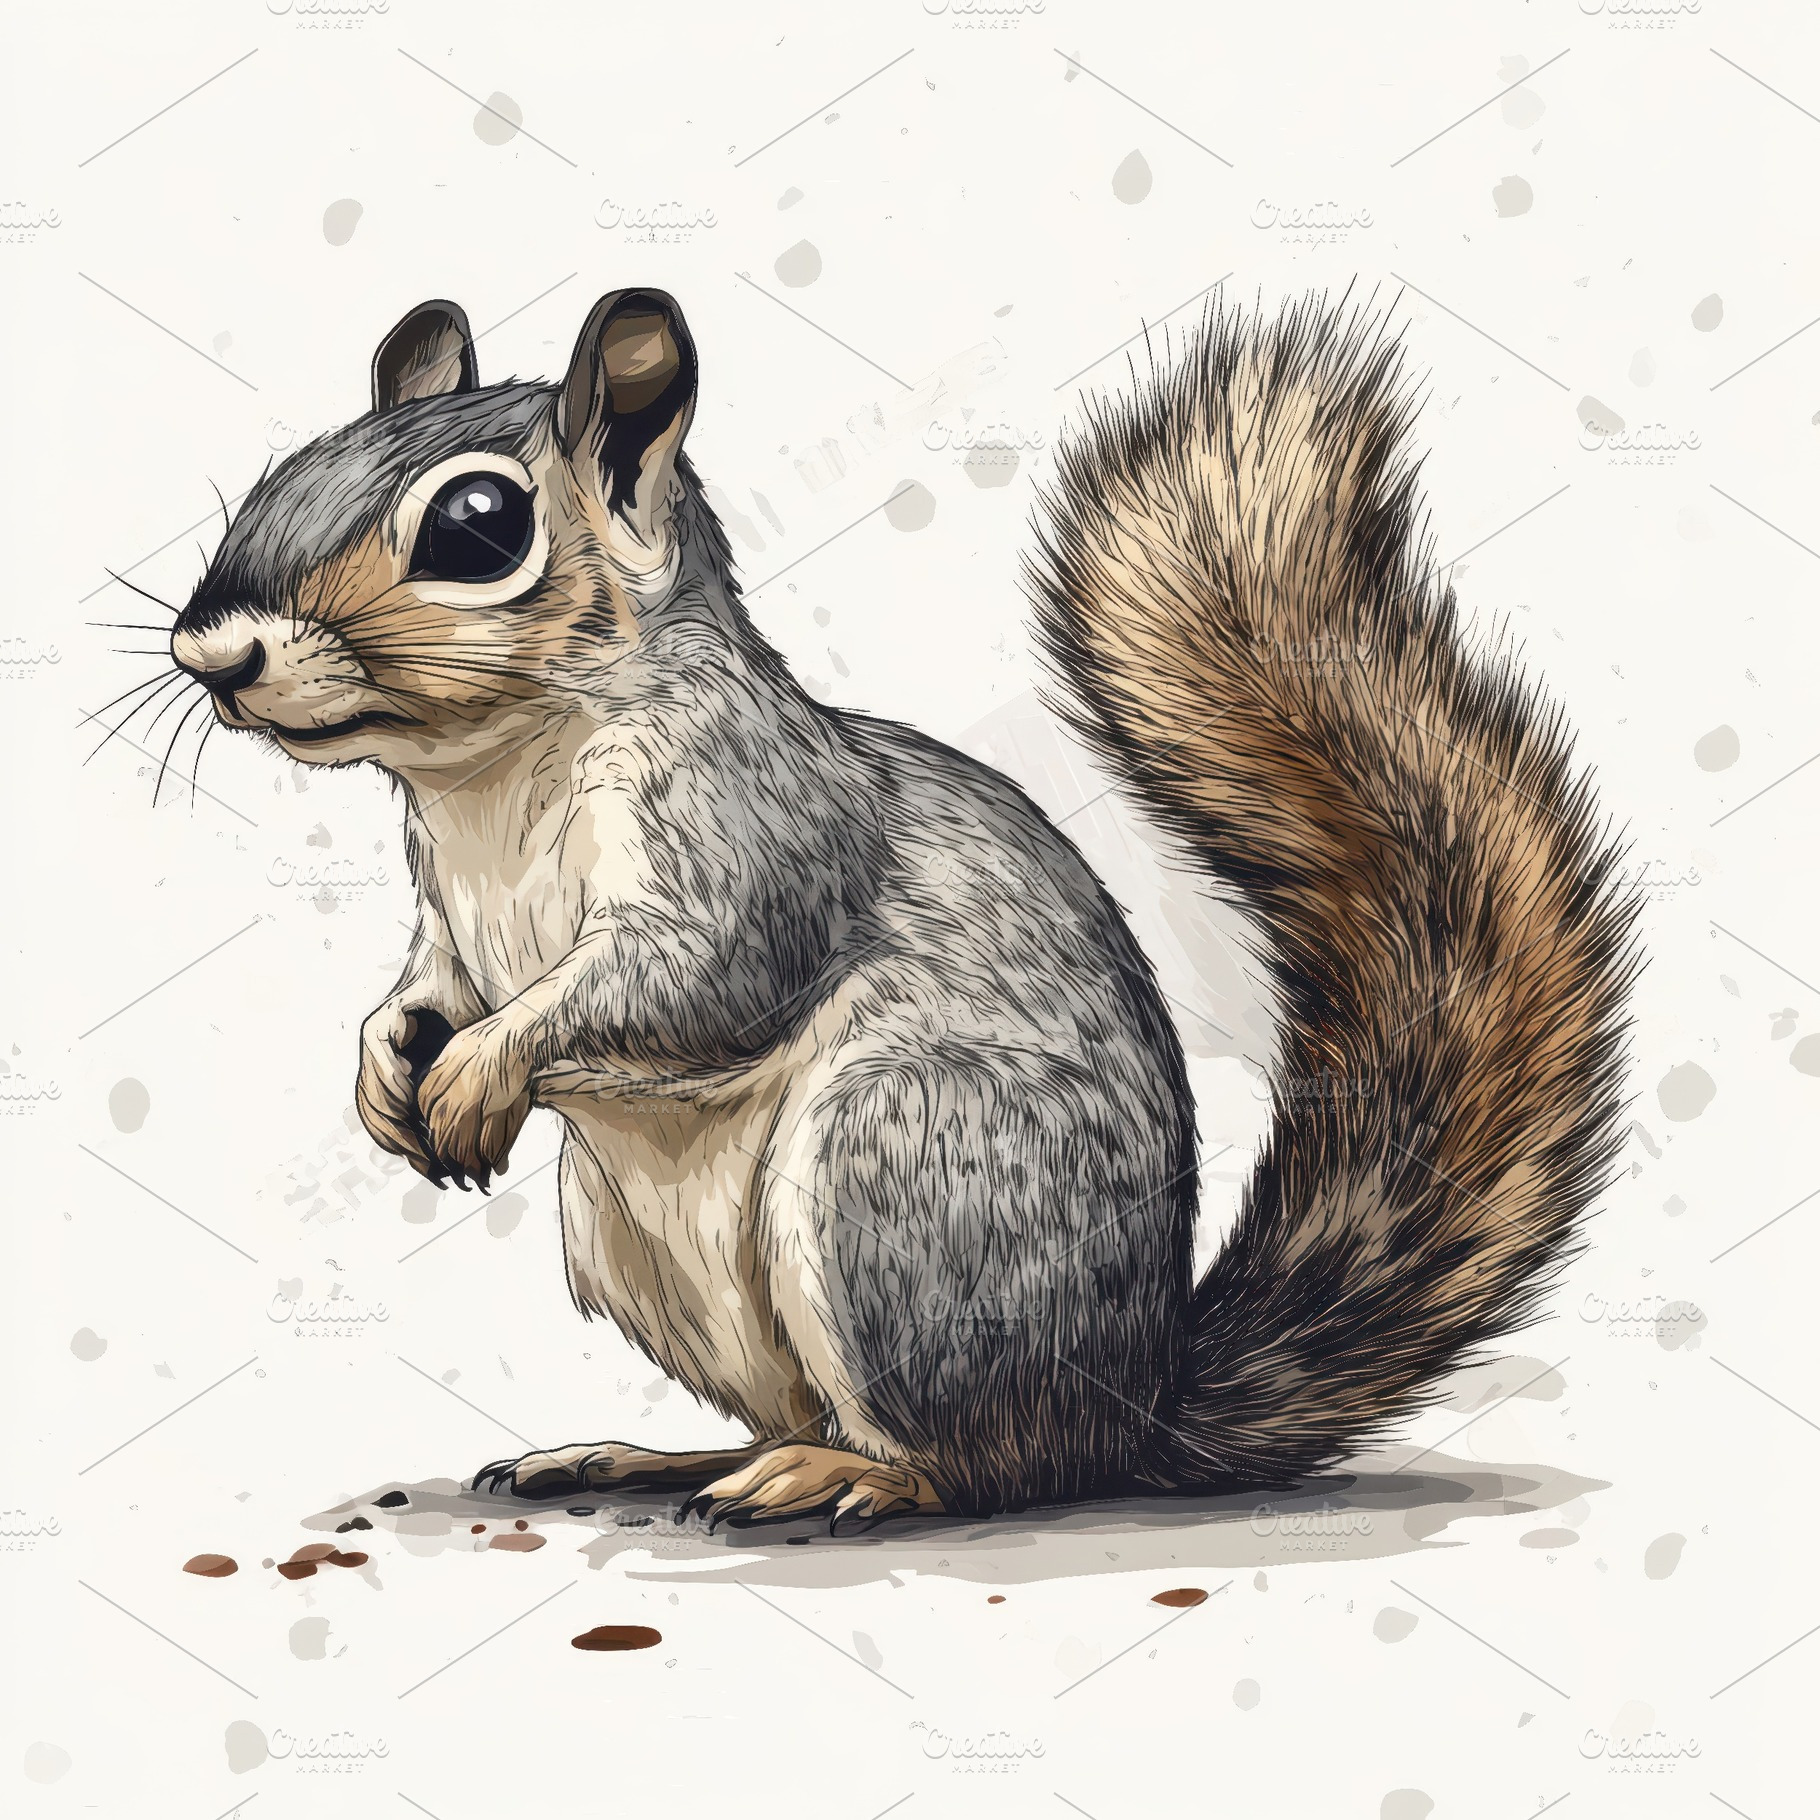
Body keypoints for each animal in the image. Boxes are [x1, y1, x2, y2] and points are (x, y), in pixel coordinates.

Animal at [168, 288, 1636, 1527]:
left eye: (477, 525)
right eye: (285, 469)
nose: (211, 652)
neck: (484, 777)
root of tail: (1133, 1411)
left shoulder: (748, 831)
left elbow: (685, 976)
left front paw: (481, 1071)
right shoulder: (447, 915)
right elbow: (428, 985)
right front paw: (385, 1066)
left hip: (898, 1167)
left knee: (982, 1463)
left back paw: (845, 1477)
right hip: (649, 1239)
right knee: (800, 1413)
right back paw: (656, 1456)